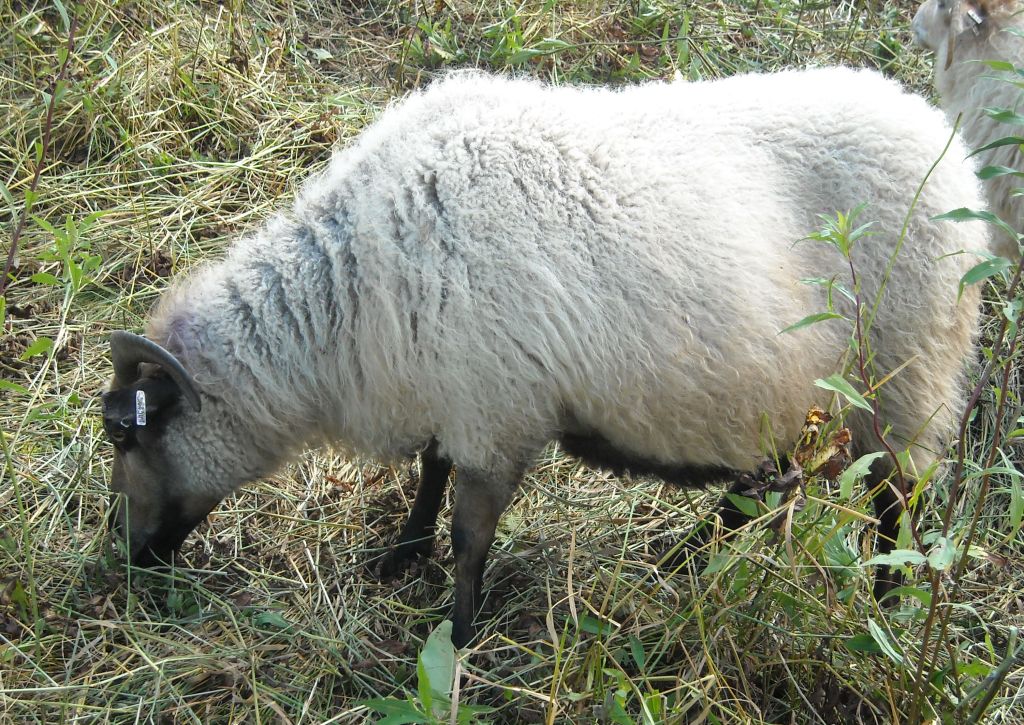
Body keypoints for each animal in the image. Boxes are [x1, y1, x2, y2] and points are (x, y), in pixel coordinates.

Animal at [101, 68, 990, 648]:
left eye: (125, 435)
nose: (128, 564)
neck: (343, 300)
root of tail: (951, 150)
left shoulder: (496, 413)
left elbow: (470, 533)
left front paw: (456, 635)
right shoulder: (457, 391)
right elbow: (431, 473)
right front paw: (400, 555)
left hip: (906, 373)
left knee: (895, 502)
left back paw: (884, 609)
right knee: (766, 487)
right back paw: (680, 560)